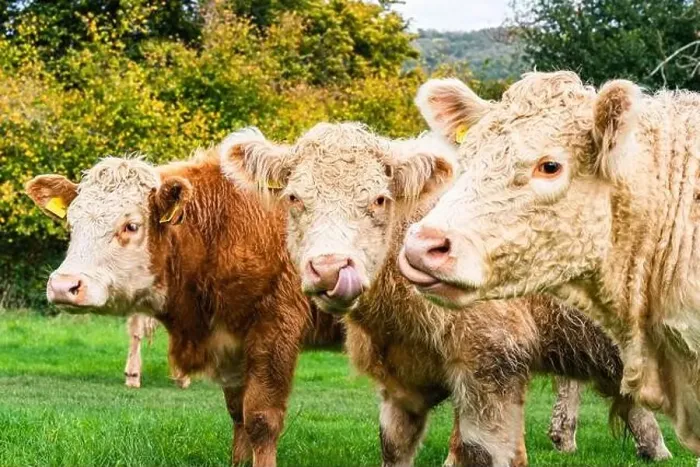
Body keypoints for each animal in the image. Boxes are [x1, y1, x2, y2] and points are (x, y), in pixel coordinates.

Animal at [25, 149, 309, 466]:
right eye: (72, 225)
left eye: (131, 226)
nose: (63, 285)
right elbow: (238, 412)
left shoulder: (276, 329)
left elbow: (261, 419)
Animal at [220, 122, 670, 466]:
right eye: (294, 197)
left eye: (380, 199)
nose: (331, 267)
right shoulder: (401, 383)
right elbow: (394, 447)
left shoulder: (493, 365)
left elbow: (477, 452)